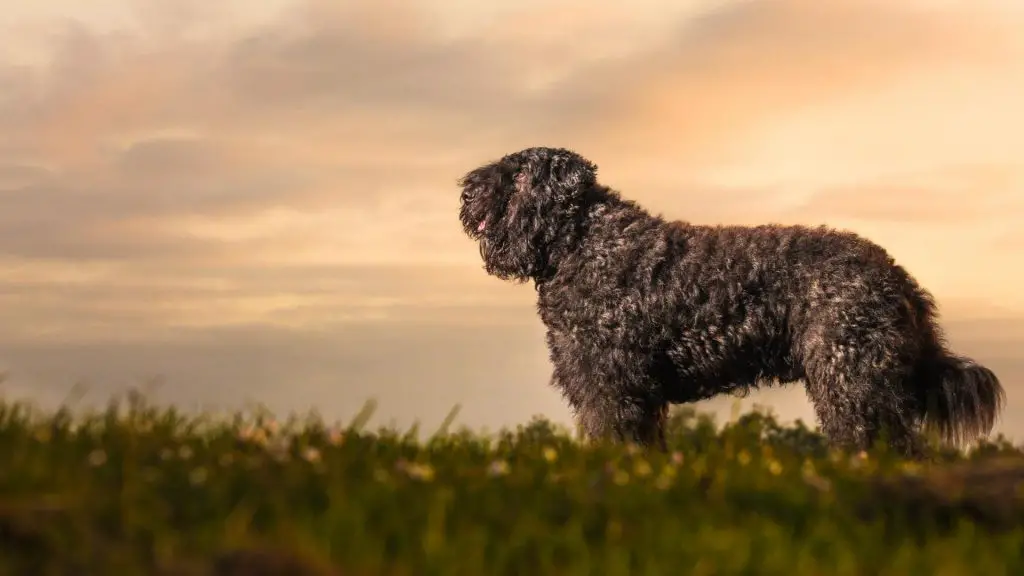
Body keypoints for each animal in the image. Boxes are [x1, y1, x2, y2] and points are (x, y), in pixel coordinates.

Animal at [458, 146, 1007, 453]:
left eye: (516, 173)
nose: (466, 192)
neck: (582, 242)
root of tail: (898, 277)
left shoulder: (609, 384)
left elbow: (613, 436)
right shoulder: (632, 393)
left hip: (851, 379)